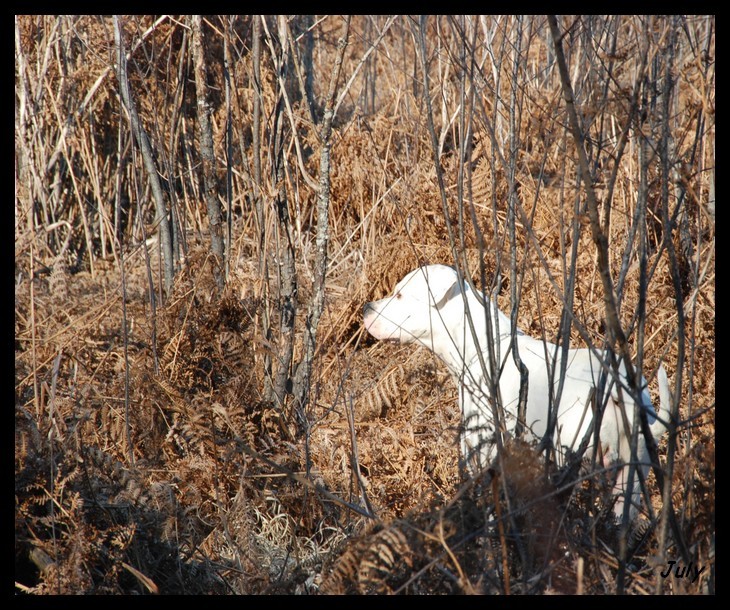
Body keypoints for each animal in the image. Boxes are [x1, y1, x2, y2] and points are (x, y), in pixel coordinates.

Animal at [362, 262, 668, 516]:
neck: (486, 346)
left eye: (400, 295)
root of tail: (622, 394)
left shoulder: (484, 453)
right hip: (630, 478)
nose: (366, 307)